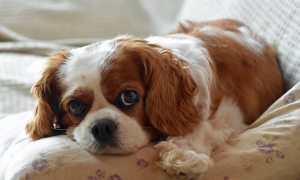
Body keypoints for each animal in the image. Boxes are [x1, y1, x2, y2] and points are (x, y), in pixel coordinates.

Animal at [25, 19, 284, 177]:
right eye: (76, 106)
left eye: (129, 96)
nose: (102, 127)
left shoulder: (231, 113)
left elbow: (202, 126)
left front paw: (184, 155)